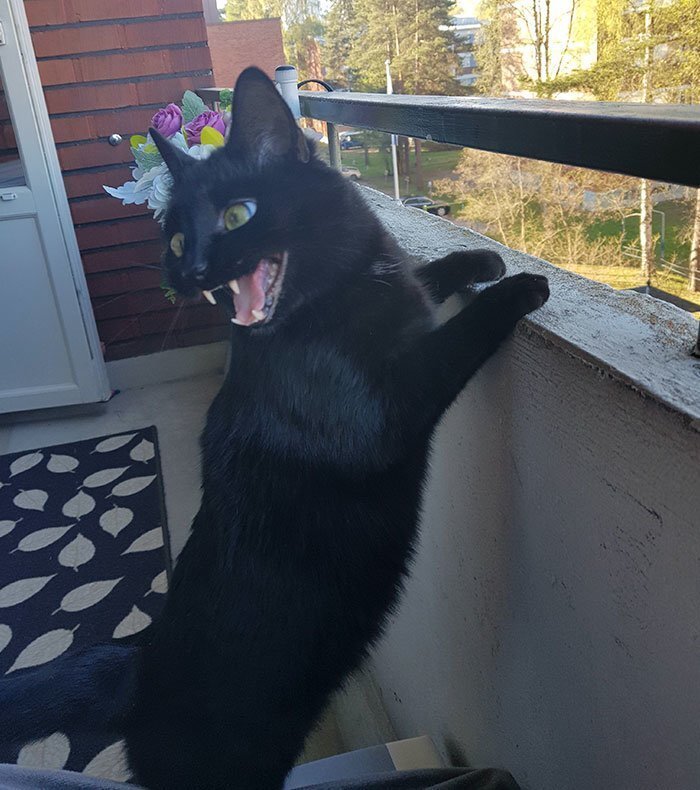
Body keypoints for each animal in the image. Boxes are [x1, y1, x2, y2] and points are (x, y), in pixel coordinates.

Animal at [0, 69, 548, 790]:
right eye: (177, 240)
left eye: (237, 216)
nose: (189, 270)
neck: (326, 305)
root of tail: (139, 668)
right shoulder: (393, 405)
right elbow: (458, 336)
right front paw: (521, 288)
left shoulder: (397, 291)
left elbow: (420, 276)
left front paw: (478, 261)